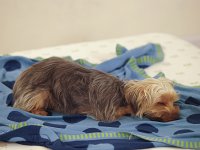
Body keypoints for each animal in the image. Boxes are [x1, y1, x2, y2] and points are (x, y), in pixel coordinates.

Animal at [12, 57, 180, 122]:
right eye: (160, 103)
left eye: (173, 102)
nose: (177, 116)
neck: (123, 94)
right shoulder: (107, 112)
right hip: (41, 92)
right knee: (22, 107)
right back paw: (39, 111)